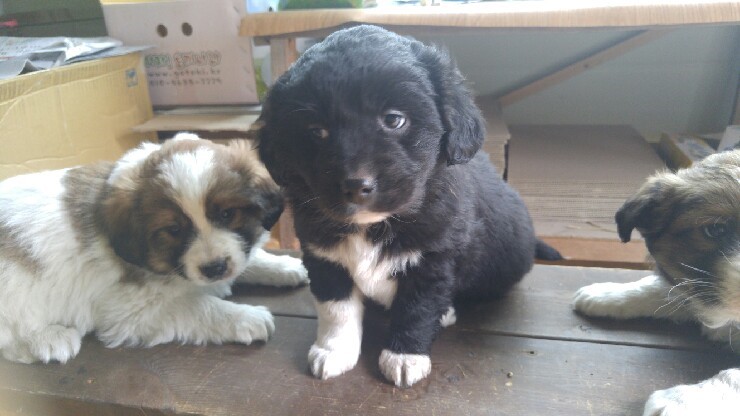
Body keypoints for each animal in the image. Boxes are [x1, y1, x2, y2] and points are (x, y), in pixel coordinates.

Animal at [0, 133, 308, 364]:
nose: (215, 268)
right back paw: (49, 340)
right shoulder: (129, 309)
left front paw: (286, 266)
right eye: (174, 230)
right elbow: (200, 306)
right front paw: (246, 317)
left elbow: (250, 259)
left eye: (226, 214)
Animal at [256, 25, 562, 387]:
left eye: (393, 120)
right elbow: (336, 309)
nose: (356, 185)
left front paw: (404, 356)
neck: (373, 225)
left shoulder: (433, 260)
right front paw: (333, 350)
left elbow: (417, 309)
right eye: (316, 131)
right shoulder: (325, 258)